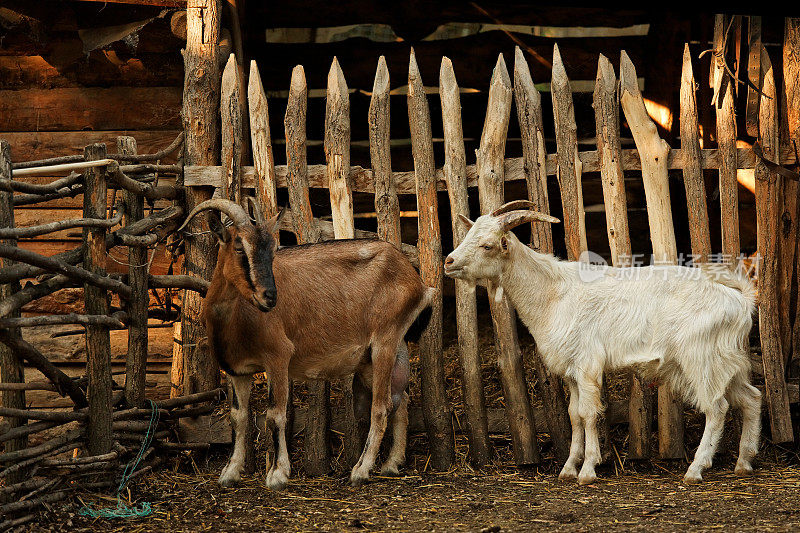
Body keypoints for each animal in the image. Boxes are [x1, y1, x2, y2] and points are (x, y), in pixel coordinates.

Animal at [179, 198, 434, 486]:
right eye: (239, 247)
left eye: (273, 251)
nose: (270, 296)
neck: (237, 320)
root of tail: (417, 281)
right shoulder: (237, 371)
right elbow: (238, 417)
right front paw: (230, 472)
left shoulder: (278, 358)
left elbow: (275, 415)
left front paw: (278, 474)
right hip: (377, 355)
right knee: (399, 400)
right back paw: (392, 464)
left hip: (384, 343)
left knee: (381, 407)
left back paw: (361, 470)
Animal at [444, 200, 764, 482]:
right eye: (468, 235)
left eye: (487, 245)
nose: (449, 262)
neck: (552, 293)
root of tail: (741, 300)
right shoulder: (571, 370)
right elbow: (574, 415)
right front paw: (568, 469)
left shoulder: (587, 364)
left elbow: (588, 413)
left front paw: (588, 470)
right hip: (728, 360)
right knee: (751, 398)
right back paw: (743, 463)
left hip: (701, 359)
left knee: (716, 407)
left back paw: (696, 469)